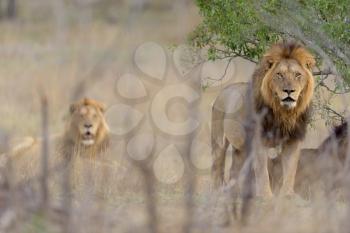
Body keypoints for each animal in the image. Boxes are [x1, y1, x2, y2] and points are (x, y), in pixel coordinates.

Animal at [212, 41, 316, 198]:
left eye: (298, 75)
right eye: (279, 74)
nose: (289, 91)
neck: (283, 113)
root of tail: (224, 90)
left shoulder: (293, 140)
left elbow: (290, 169)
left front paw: (288, 195)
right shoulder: (258, 140)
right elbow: (262, 172)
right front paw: (266, 196)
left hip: (240, 148)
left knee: (234, 170)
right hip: (219, 141)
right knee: (217, 167)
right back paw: (217, 192)